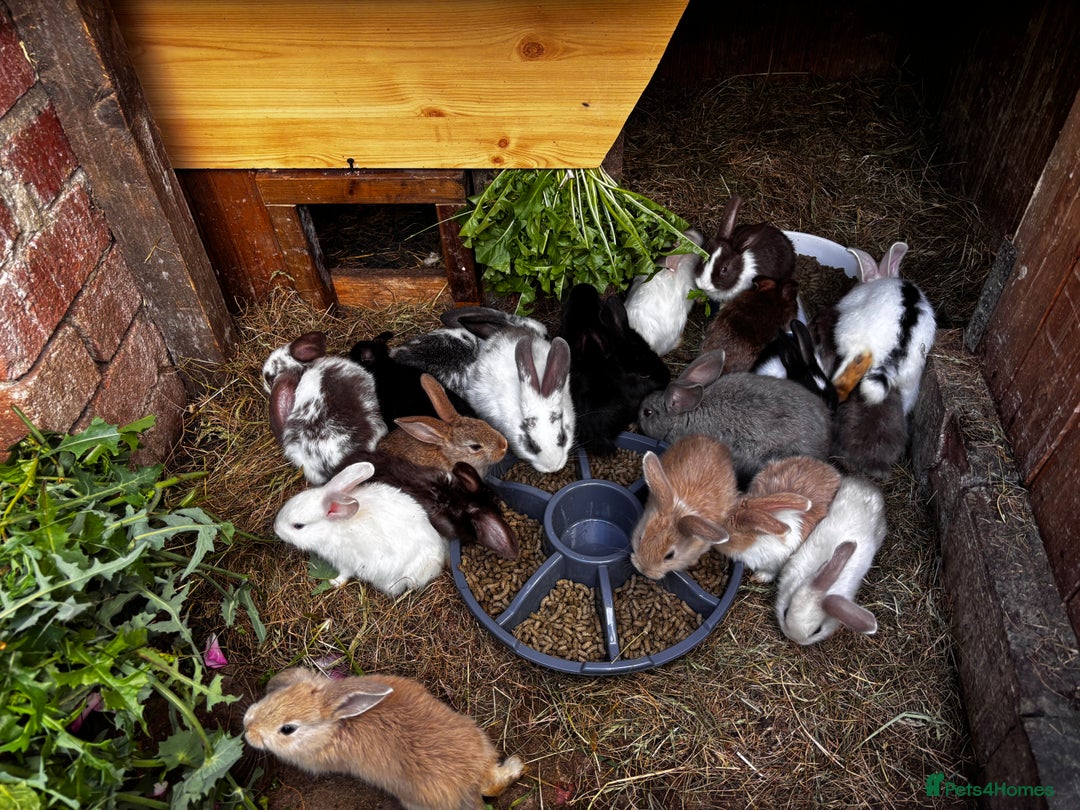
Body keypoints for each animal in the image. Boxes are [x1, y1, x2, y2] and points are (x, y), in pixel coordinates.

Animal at [242, 666, 524, 810]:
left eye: (288, 729)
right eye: (276, 697)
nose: (248, 728)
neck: (336, 726)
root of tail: (473, 780)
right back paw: (517, 767)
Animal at [273, 461, 447, 595]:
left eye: (298, 526)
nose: (276, 528)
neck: (332, 528)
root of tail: (437, 564)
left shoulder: (346, 561)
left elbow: (345, 575)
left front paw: (334, 583)